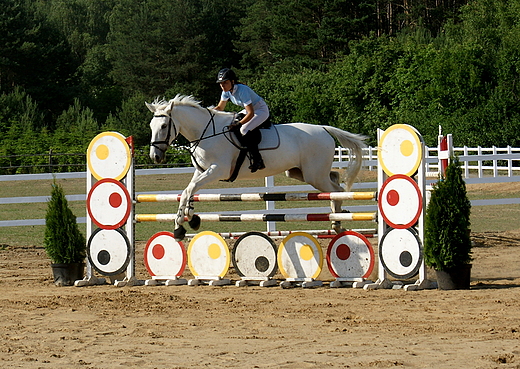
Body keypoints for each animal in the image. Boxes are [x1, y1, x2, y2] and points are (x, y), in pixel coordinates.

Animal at [145, 93, 366, 240]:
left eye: (164, 126)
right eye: (151, 126)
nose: (155, 157)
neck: (205, 134)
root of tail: (323, 128)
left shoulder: (217, 170)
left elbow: (189, 190)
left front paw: (183, 224)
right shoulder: (201, 171)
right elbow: (188, 190)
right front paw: (186, 220)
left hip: (314, 174)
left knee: (336, 190)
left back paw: (337, 221)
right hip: (299, 172)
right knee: (334, 180)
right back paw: (337, 220)